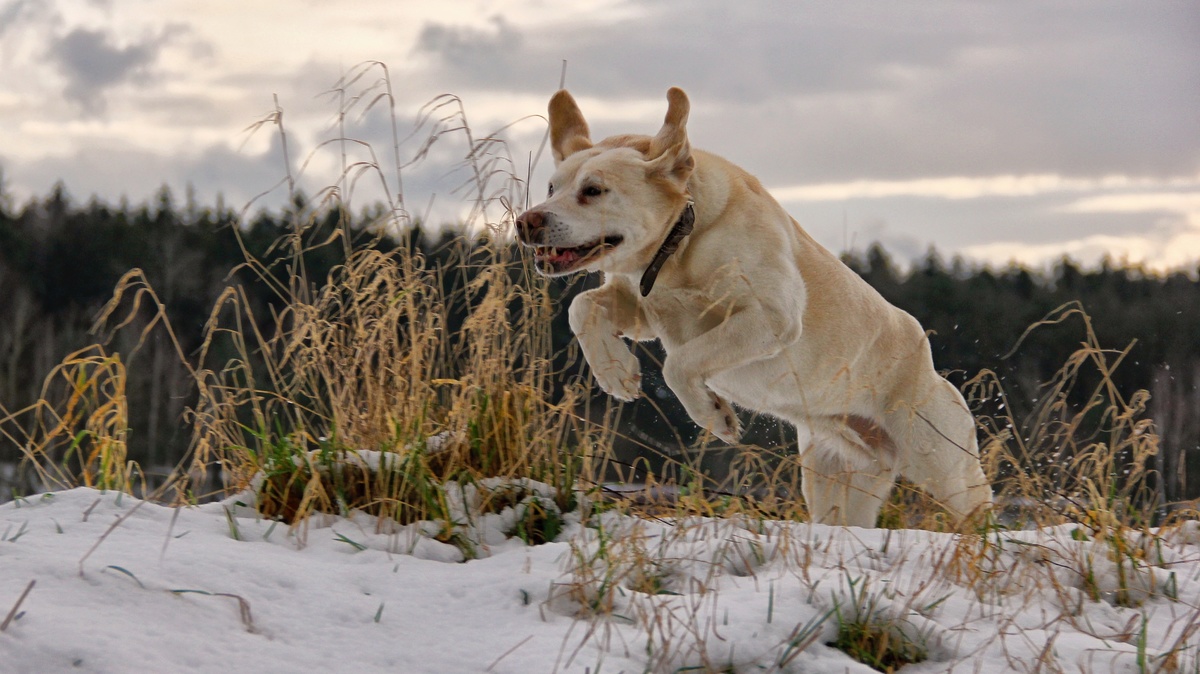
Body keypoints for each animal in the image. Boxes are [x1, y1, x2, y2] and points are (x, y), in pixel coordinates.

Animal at [516, 88, 993, 525]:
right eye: (552, 188)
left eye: (593, 190)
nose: (526, 222)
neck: (682, 241)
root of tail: (926, 357)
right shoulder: (642, 305)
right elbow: (582, 308)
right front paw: (616, 372)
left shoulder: (772, 316)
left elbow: (679, 364)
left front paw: (714, 415)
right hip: (839, 478)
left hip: (942, 463)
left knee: (977, 508)